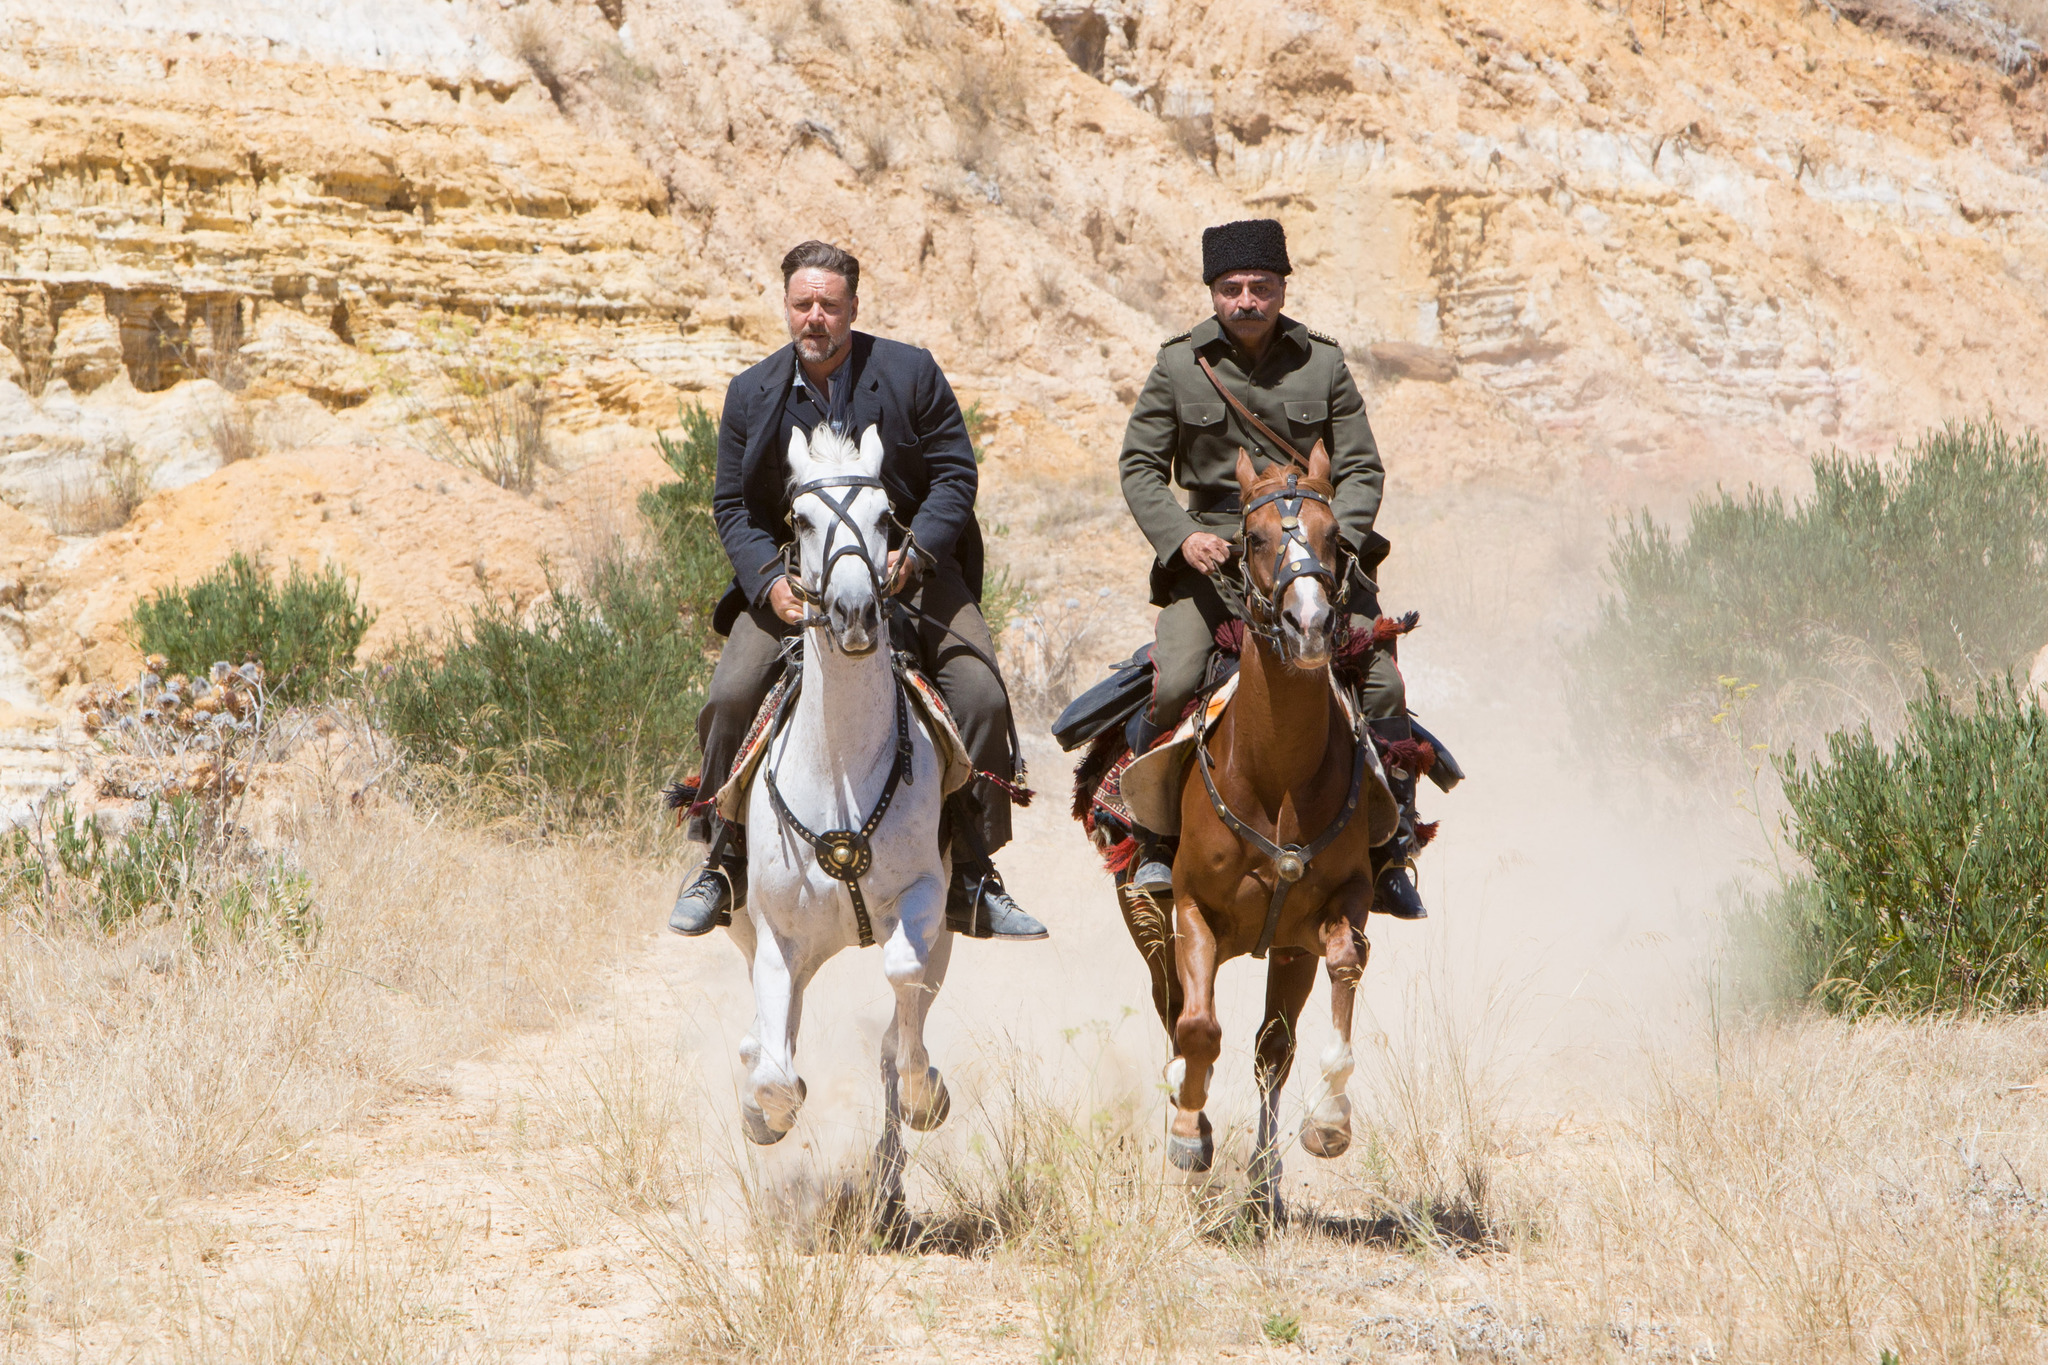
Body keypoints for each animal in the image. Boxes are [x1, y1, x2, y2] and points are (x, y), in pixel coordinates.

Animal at [733, 423, 954, 1154]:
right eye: (801, 519)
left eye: (885, 517)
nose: (854, 612)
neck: (842, 771)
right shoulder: (776, 934)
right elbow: (775, 1072)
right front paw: (767, 1106)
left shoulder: (926, 895)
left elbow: (904, 975)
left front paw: (920, 1088)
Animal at [1130, 446, 1400, 1227]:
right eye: (1251, 538)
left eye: (1334, 536)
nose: (1308, 622)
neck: (1273, 768)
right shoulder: (1193, 911)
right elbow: (1197, 1030)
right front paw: (1188, 1138)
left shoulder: (1332, 912)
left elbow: (1340, 972)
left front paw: (1330, 1120)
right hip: (1152, 921)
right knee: (1175, 1014)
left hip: (1284, 951)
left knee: (1269, 1050)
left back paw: (1262, 1179)